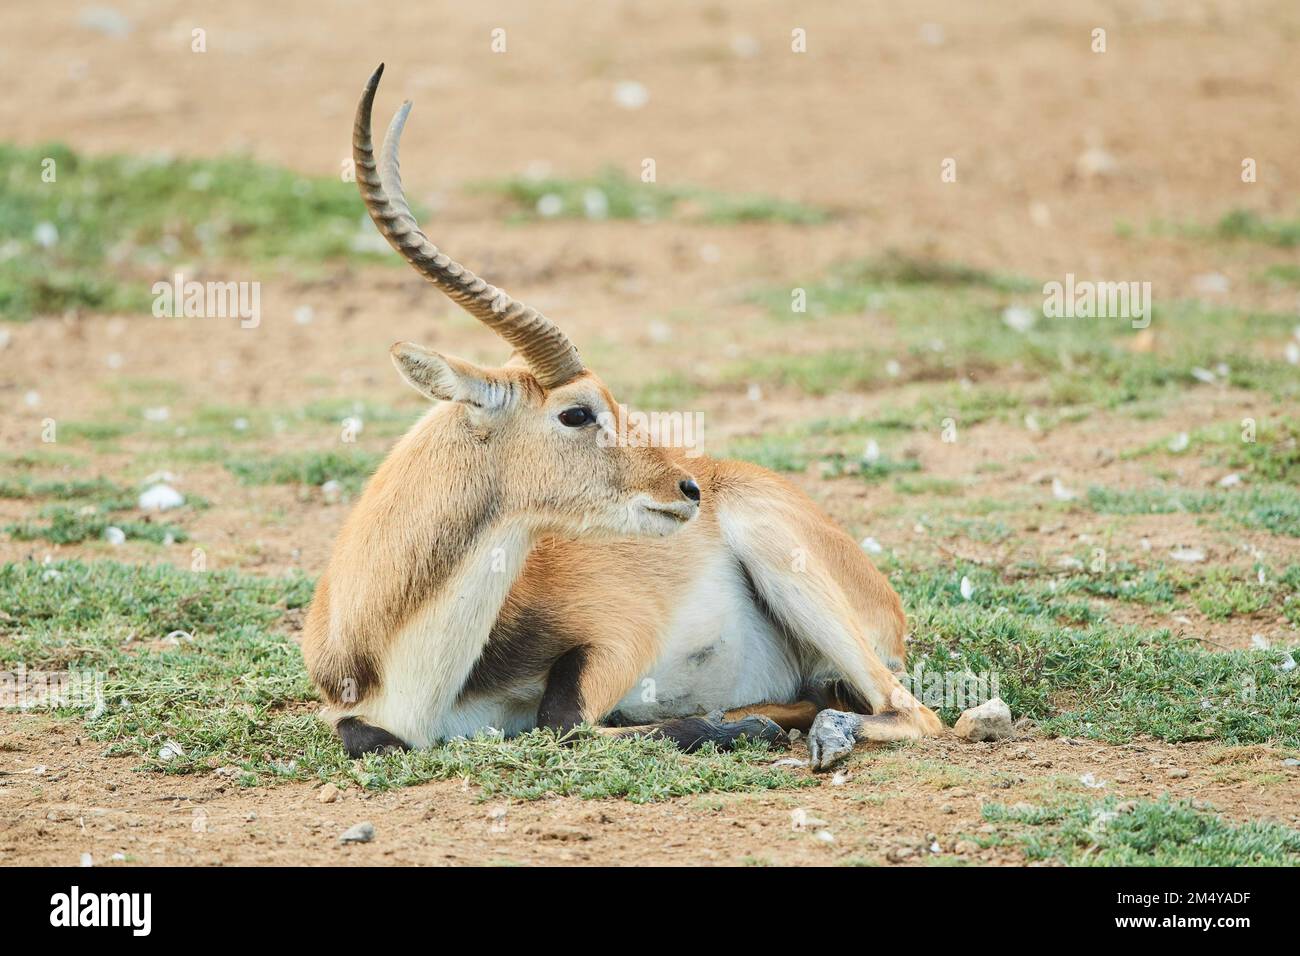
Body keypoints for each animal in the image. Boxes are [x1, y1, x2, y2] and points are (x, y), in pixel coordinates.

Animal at [299, 65, 941, 770]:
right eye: (577, 413)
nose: (686, 488)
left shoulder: (617, 636)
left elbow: (561, 723)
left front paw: (739, 729)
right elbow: (365, 738)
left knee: (913, 713)